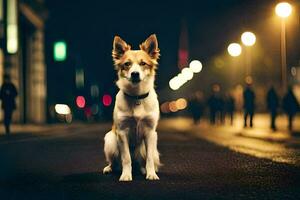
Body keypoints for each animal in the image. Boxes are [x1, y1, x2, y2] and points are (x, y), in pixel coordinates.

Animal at [102, 34, 161, 181]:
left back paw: (143, 170)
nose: (135, 74)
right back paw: (110, 168)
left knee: (143, 161)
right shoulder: (122, 133)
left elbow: (149, 159)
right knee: (115, 161)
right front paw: (126, 175)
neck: (136, 97)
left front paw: (151, 174)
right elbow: (126, 158)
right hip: (110, 140)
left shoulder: (150, 133)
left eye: (143, 63)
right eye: (127, 64)